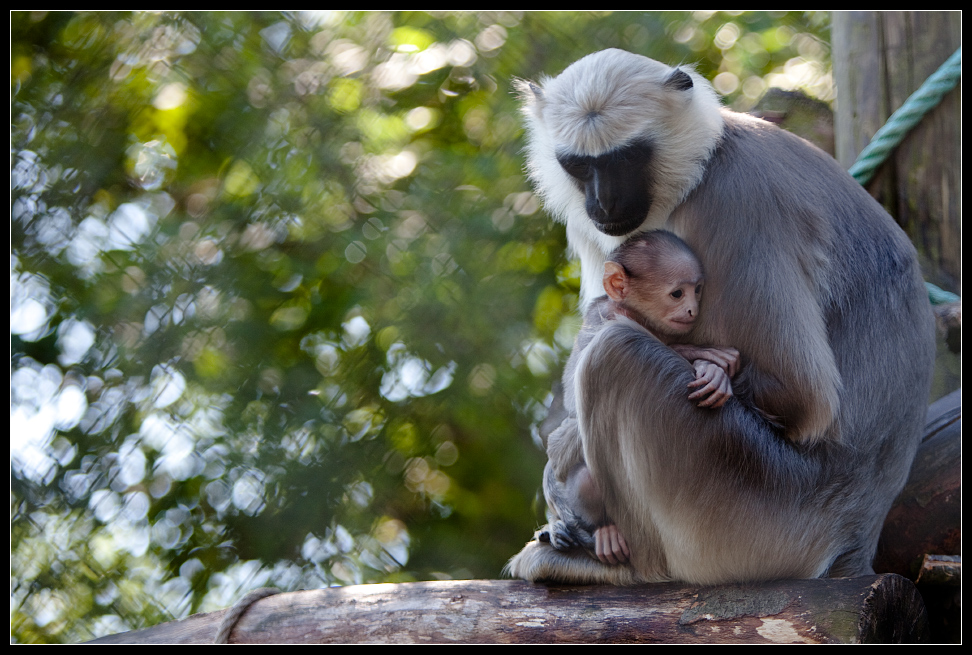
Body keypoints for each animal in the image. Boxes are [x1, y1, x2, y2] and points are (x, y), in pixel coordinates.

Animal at [504, 48, 932, 588]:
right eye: (579, 165)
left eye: (626, 159)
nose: (603, 201)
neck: (704, 163)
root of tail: (855, 543)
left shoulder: (734, 202)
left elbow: (801, 395)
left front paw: (561, 452)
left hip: (753, 514)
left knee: (614, 355)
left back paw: (626, 565)